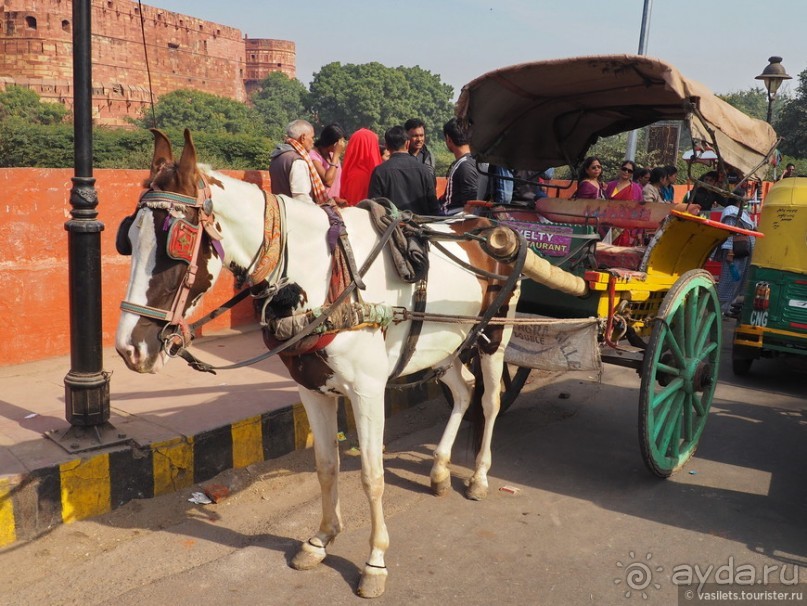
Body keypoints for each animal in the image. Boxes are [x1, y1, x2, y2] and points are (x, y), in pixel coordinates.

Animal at [115, 131, 524, 600]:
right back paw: (439, 468)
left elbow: (372, 475)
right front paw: (322, 538)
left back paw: (478, 477)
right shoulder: (311, 387)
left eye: (177, 247)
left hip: (494, 335)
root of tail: (490, 223)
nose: (130, 348)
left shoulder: (367, 390)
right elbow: (326, 466)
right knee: (463, 389)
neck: (325, 272)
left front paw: (375, 561)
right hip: (447, 343)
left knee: (490, 400)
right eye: (128, 239)